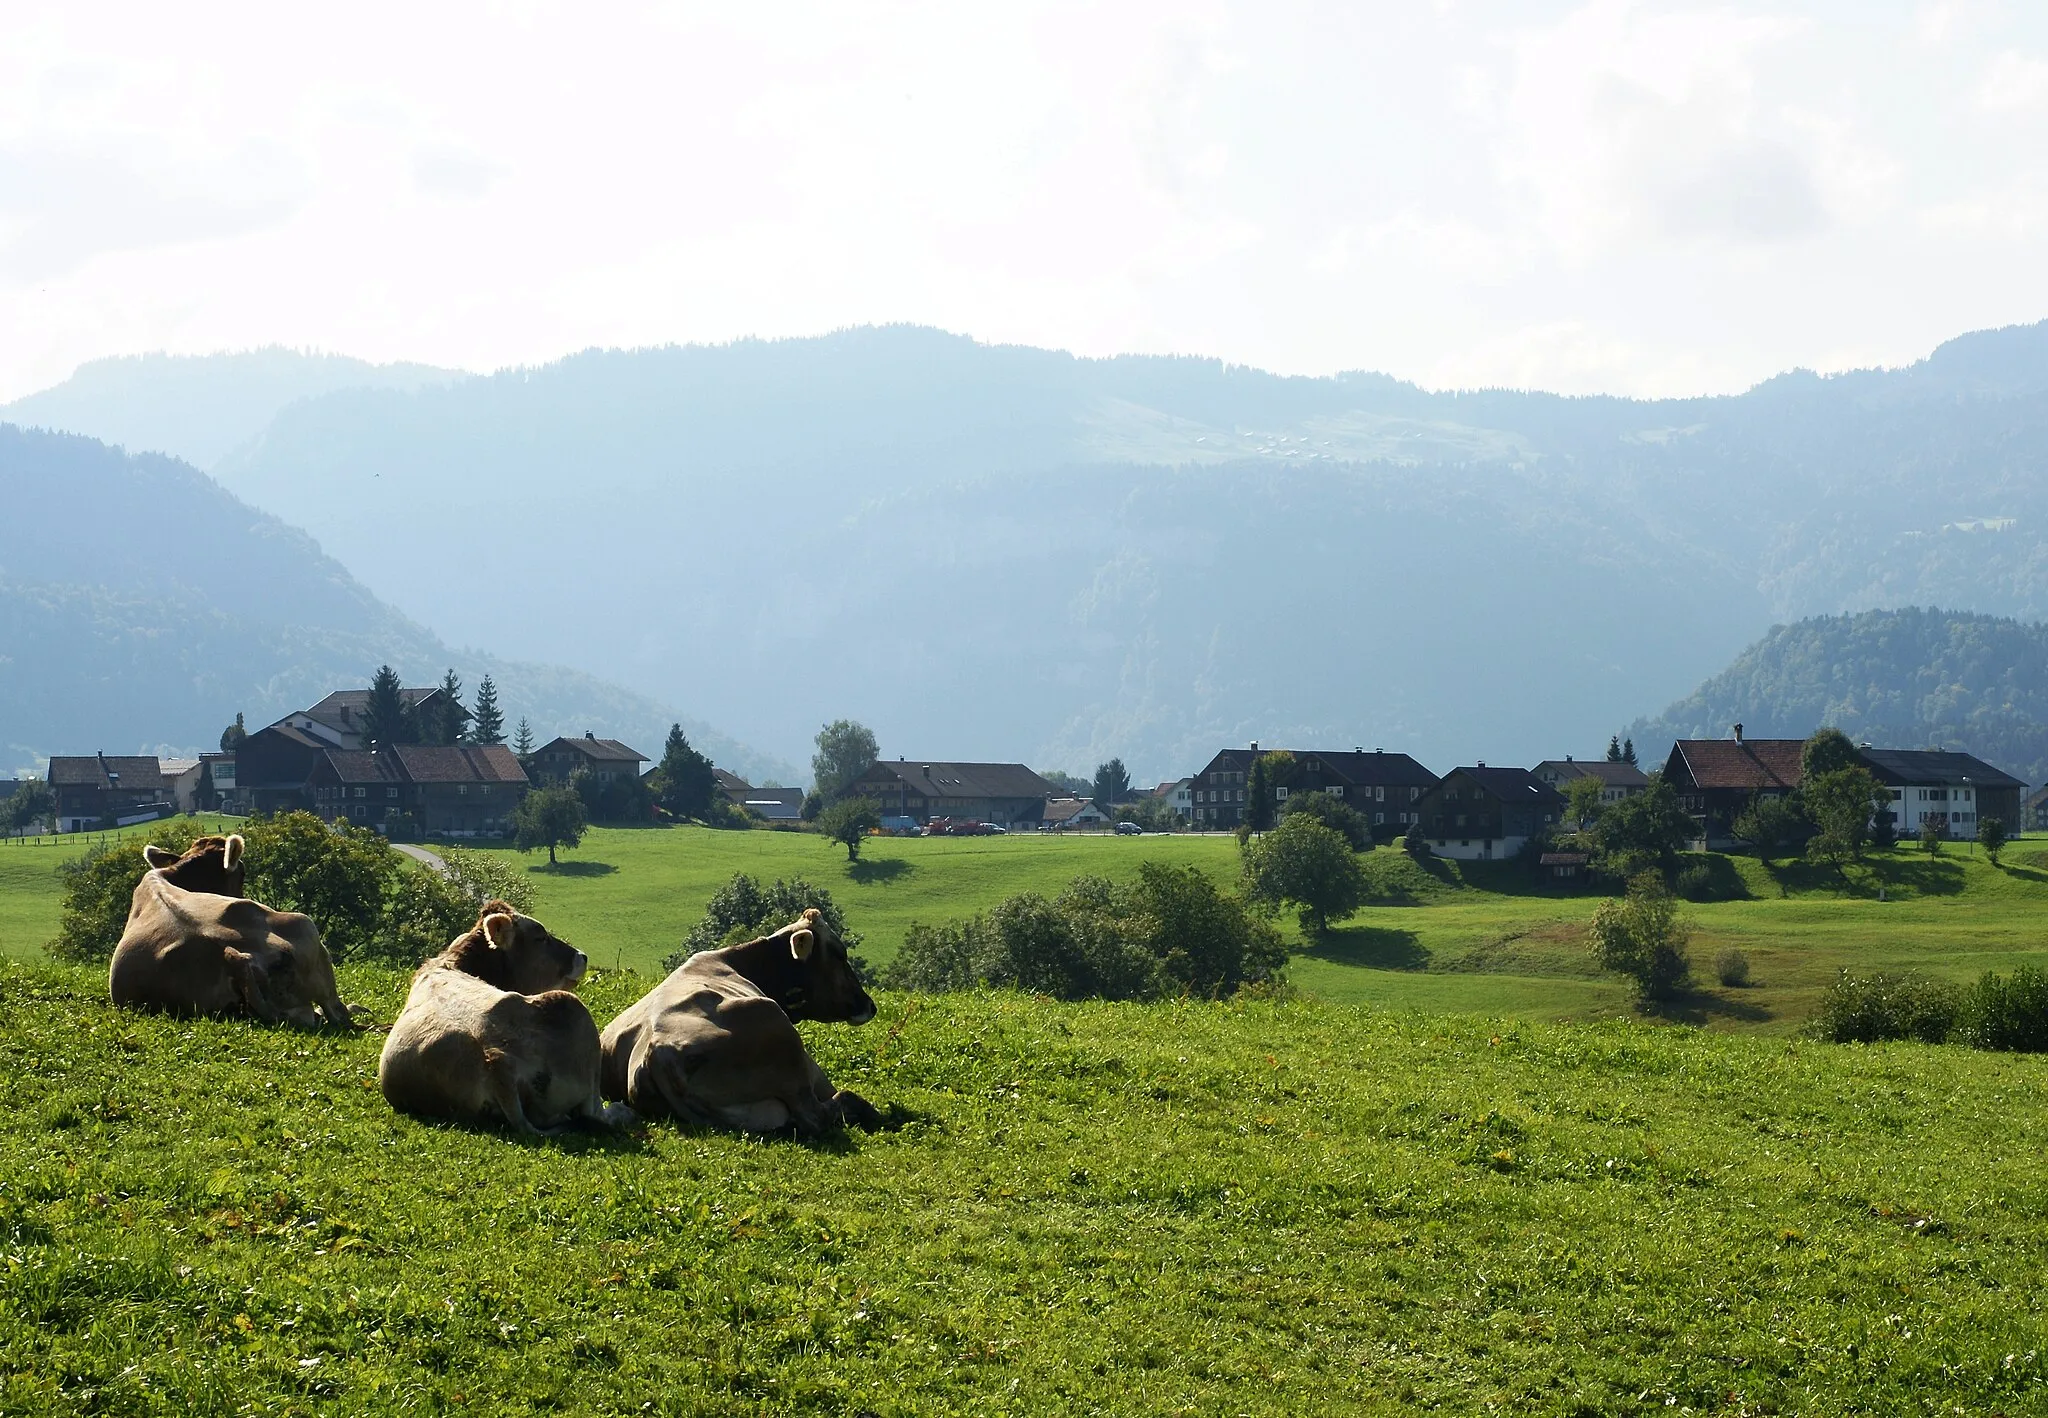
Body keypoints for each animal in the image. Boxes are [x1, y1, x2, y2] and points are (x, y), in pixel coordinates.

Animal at [378, 901, 626, 1139]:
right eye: (541, 937)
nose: (583, 956)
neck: (450, 963)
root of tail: (497, 1061)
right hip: (572, 1011)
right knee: (594, 1111)